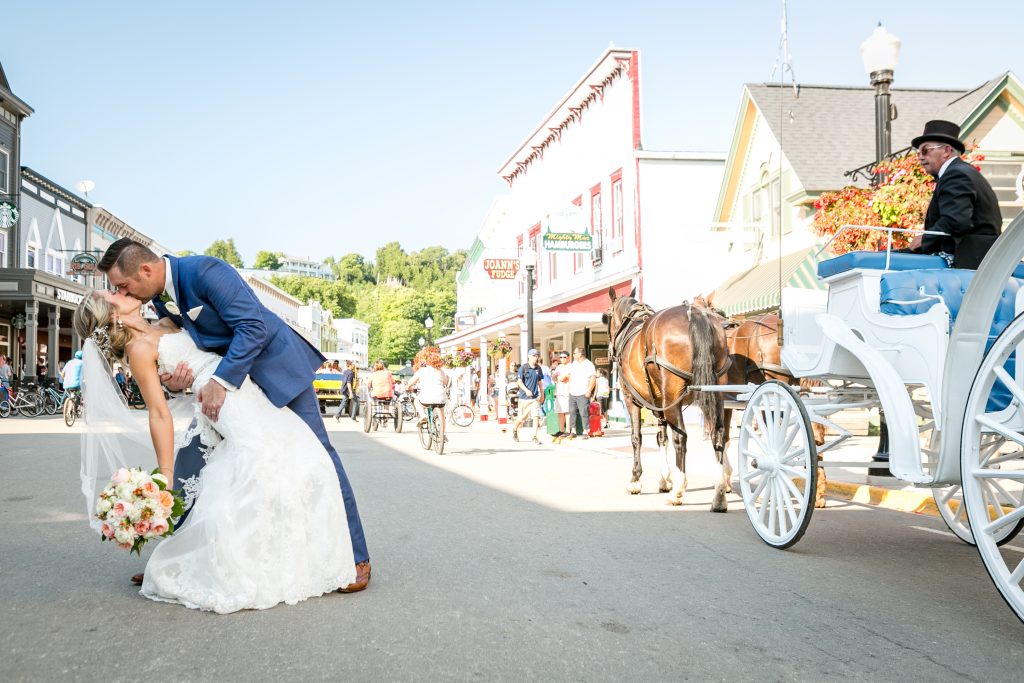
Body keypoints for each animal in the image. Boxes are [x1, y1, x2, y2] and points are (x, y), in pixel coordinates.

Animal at [598, 286, 737, 509]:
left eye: (607, 317)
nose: (609, 350)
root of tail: (695, 314)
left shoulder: (631, 400)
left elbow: (637, 438)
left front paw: (636, 480)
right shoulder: (658, 403)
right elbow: (661, 437)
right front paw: (665, 479)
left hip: (673, 400)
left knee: (681, 438)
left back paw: (678, 491)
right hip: (715, 395)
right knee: (718, 435)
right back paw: (719, 493)